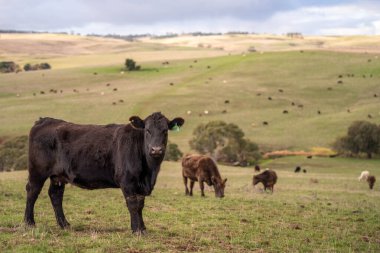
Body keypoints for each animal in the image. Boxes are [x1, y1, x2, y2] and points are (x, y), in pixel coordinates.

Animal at [23, 111, 184, 234]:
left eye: (165, 131)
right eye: (147, 130)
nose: (156, 150)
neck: (149, 172)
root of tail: (45, 120)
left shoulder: (140, 185)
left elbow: (140, 205)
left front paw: (143, 228)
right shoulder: (127, 181)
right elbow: (133, 205)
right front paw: (136, 230)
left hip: (58, 176)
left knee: (55, 195)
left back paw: (64, 224)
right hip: (37, 171)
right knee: (32, 191)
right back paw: (29, 222)